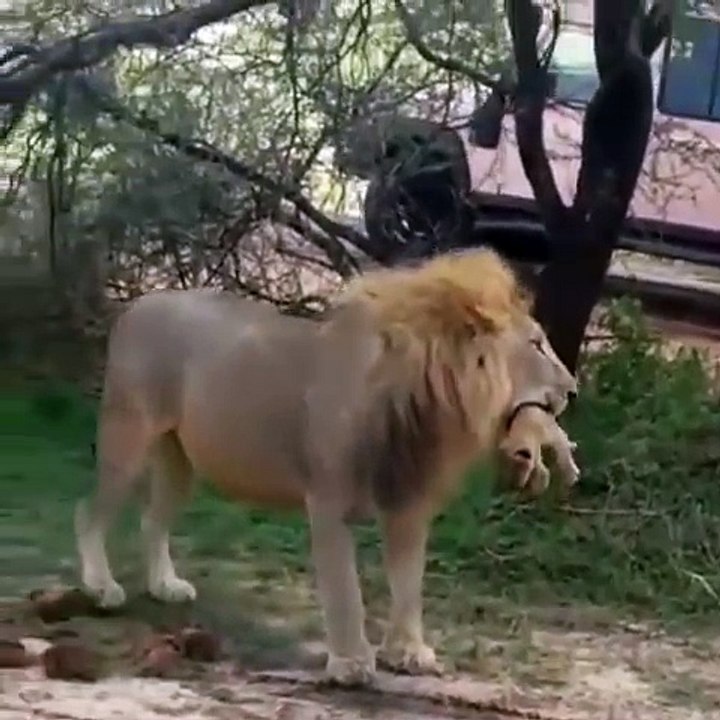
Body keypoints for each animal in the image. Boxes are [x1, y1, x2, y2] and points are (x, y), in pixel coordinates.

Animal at [74, 249, 577, 686]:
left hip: (180, 458)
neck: (430, 399)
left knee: (151, 519)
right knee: (91, 512)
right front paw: (352, 663)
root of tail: (139, 302)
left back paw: (165, 585)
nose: (572, 389)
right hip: (128, 434)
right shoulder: (328, 500)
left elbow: (409, 585)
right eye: (537, 344)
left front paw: (409, 652)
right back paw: (101, 587)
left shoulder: (408, 502)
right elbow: (345, 590)